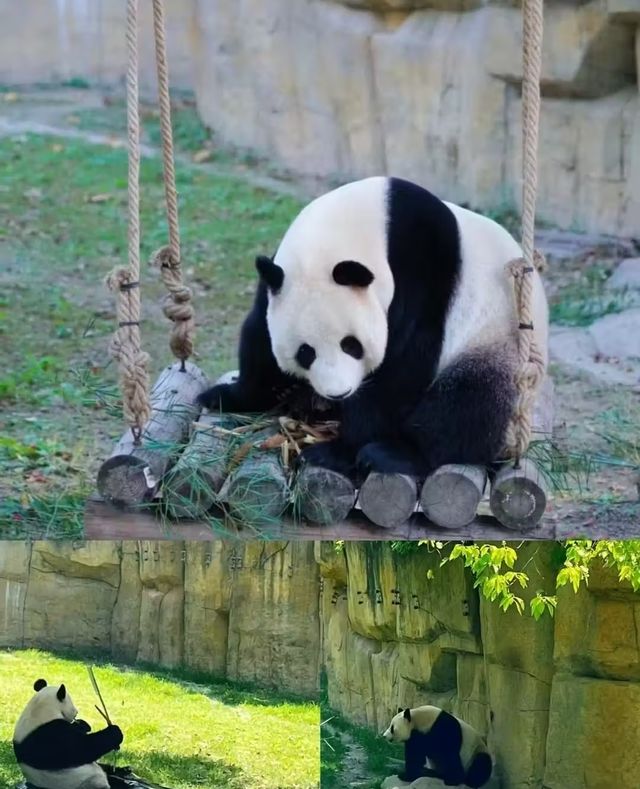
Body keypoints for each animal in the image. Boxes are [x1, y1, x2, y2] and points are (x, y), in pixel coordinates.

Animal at [198, 175, 548, 478]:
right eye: (305, 352)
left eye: (351, 344)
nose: (338, 393)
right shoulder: (276, 281)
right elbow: (259, 336)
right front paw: (228, 396)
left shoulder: (422, 273)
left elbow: (400, 366)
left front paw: (338, 451)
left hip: (498, 340)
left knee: (466, 405)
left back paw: (394, 453)